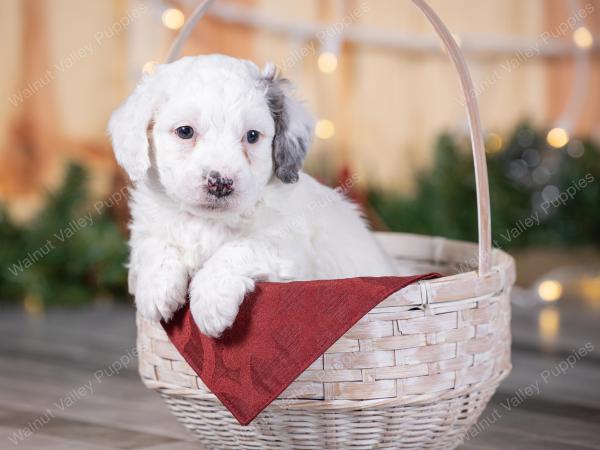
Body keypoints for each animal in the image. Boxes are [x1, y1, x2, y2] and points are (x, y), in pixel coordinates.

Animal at [110, 54, 396, 336]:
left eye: (252, 136)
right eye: (185, 131)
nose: (220, 183)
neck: (208, 222)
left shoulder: (286, 249)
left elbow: (240, 247)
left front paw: (210, 300)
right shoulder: (147, 227)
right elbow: (155, 244)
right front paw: (155, 288)